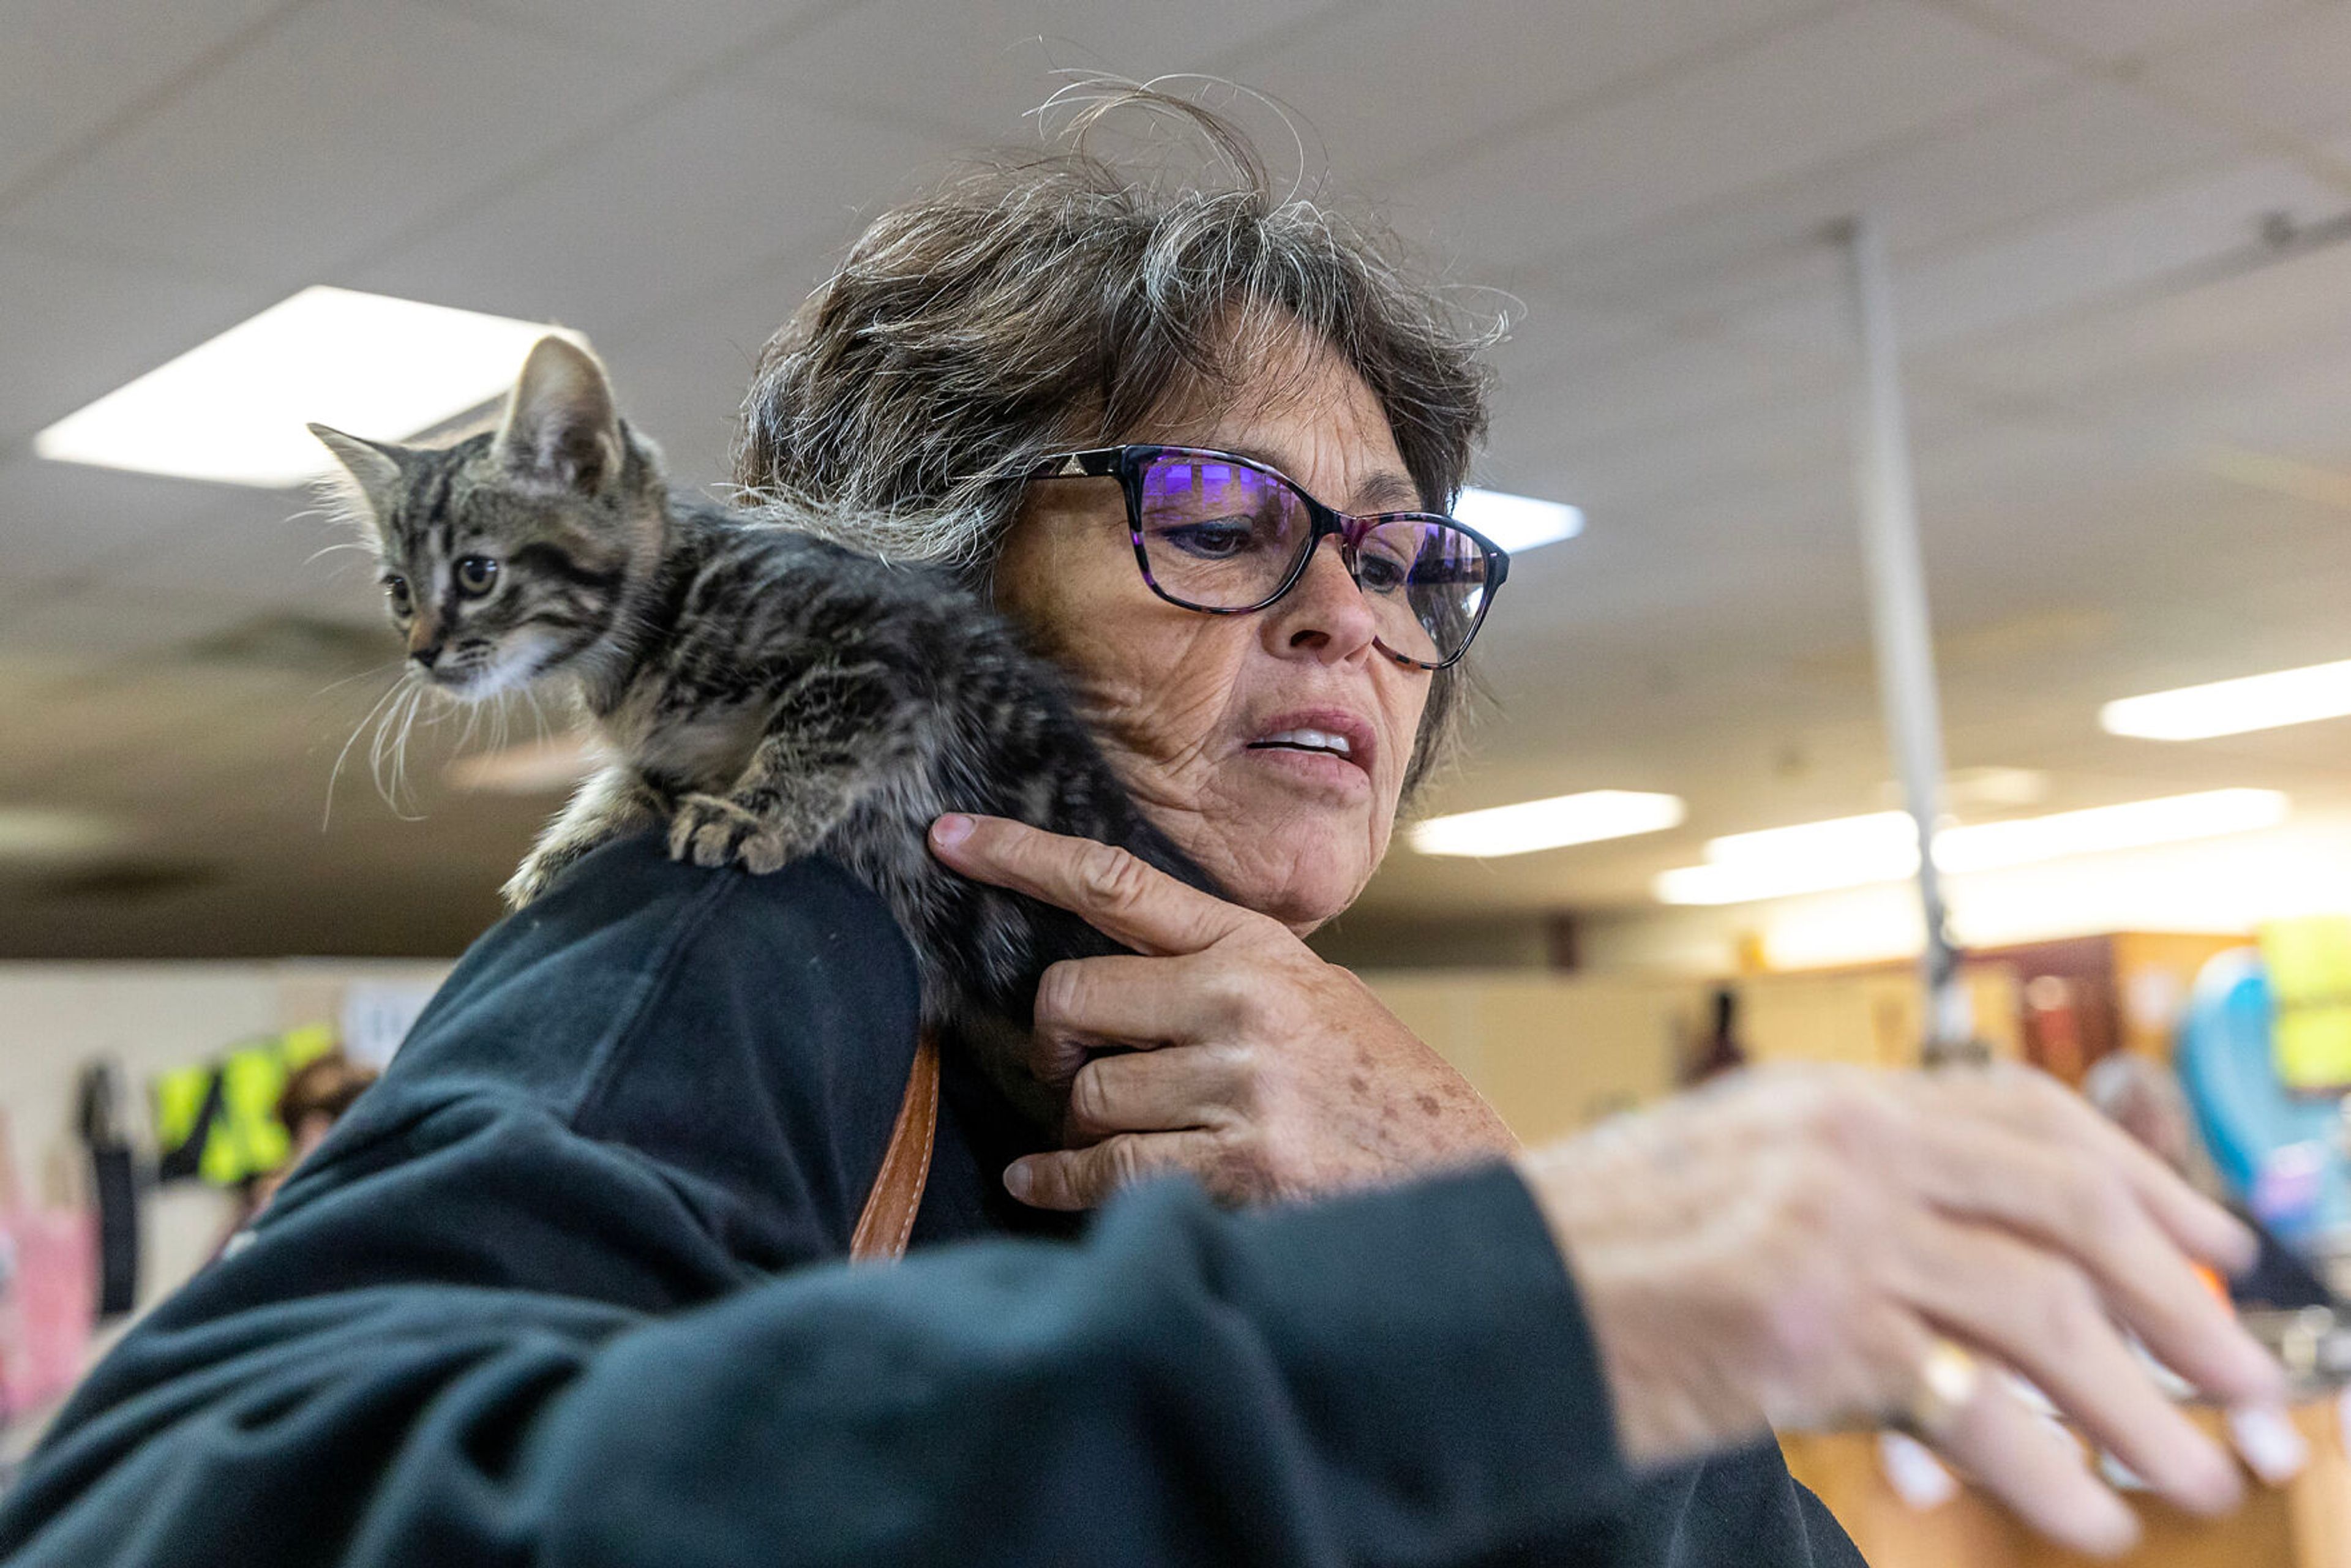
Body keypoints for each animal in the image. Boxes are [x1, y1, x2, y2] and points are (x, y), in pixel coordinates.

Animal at [317, 336, 1213, 1034]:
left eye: (477, 574)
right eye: (399, 592)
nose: (423, 652)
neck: (643, 644)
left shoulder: (888, 637)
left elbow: (818, 730)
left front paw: (750, 813)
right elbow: (636, 780)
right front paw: (571, 843)